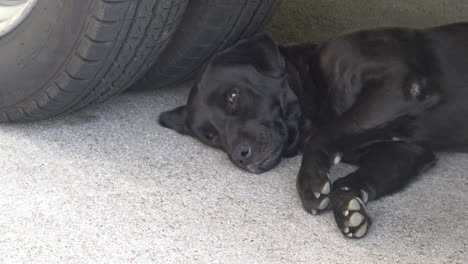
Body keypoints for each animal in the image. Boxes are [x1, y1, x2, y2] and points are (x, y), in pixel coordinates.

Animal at [158, 21, 468, 238]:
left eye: (232, 95)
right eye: (211, 136)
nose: (240, 156)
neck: (314, 83)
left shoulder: (399, 87)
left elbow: (323, 136)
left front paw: (310, 182)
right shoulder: (405, 150)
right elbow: (355, 179)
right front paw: (348, 205)